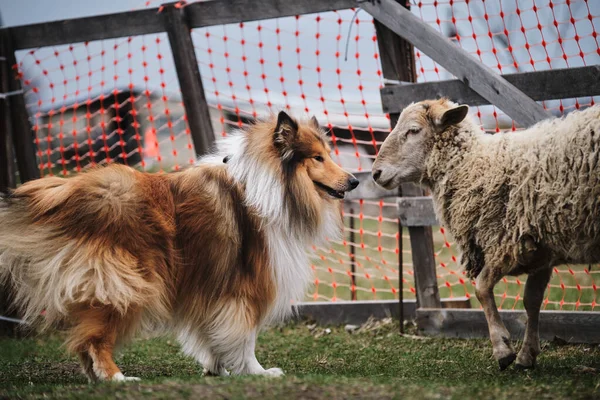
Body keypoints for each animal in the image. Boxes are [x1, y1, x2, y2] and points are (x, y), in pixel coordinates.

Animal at [0, 111, 356, 382]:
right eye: (318, 157)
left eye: (328, 154)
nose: (353, 181)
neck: (270, 185)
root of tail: (65, 193)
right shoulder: (244, 285)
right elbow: (244, 336)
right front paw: (257, 372)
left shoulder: (212, 286)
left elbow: (213, 333)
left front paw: (216, 369)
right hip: (127, 282)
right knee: (94, 340)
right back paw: (118, 378)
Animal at [370, 98, 600, 370]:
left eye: (413, 130)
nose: (375, 173)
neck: (476, 167)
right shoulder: (541, 247)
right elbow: (532, 300)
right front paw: (527, 355)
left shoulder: (506, 241)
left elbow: (481, 288)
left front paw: (503, 349)